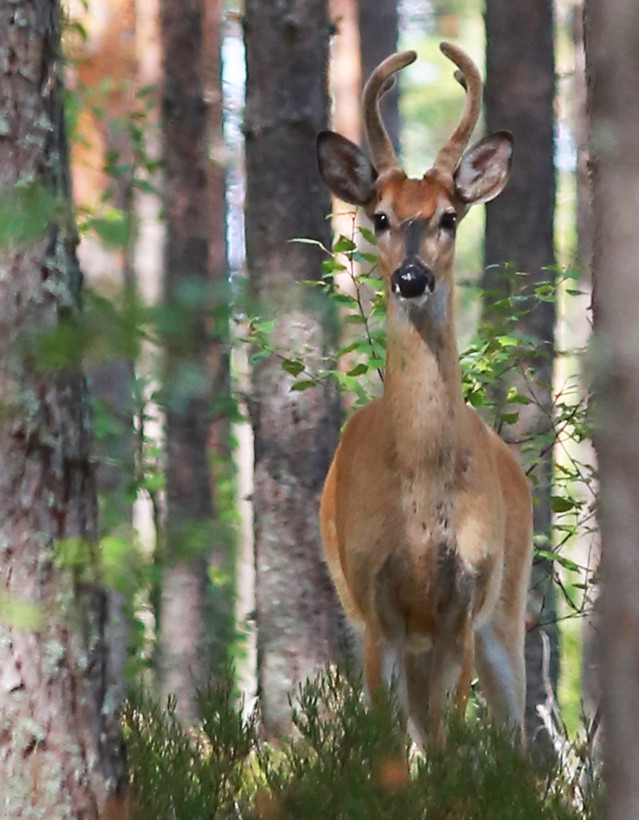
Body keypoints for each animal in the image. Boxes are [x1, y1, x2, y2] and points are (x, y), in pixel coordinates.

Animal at [318, 44, 532, 748]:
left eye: (450, 216)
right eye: (380, 216)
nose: (412, 277)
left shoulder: (462, 606)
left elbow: (444, 745)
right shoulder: (373, 605)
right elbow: (389, 744)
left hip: (507, 605)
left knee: (522, 741)